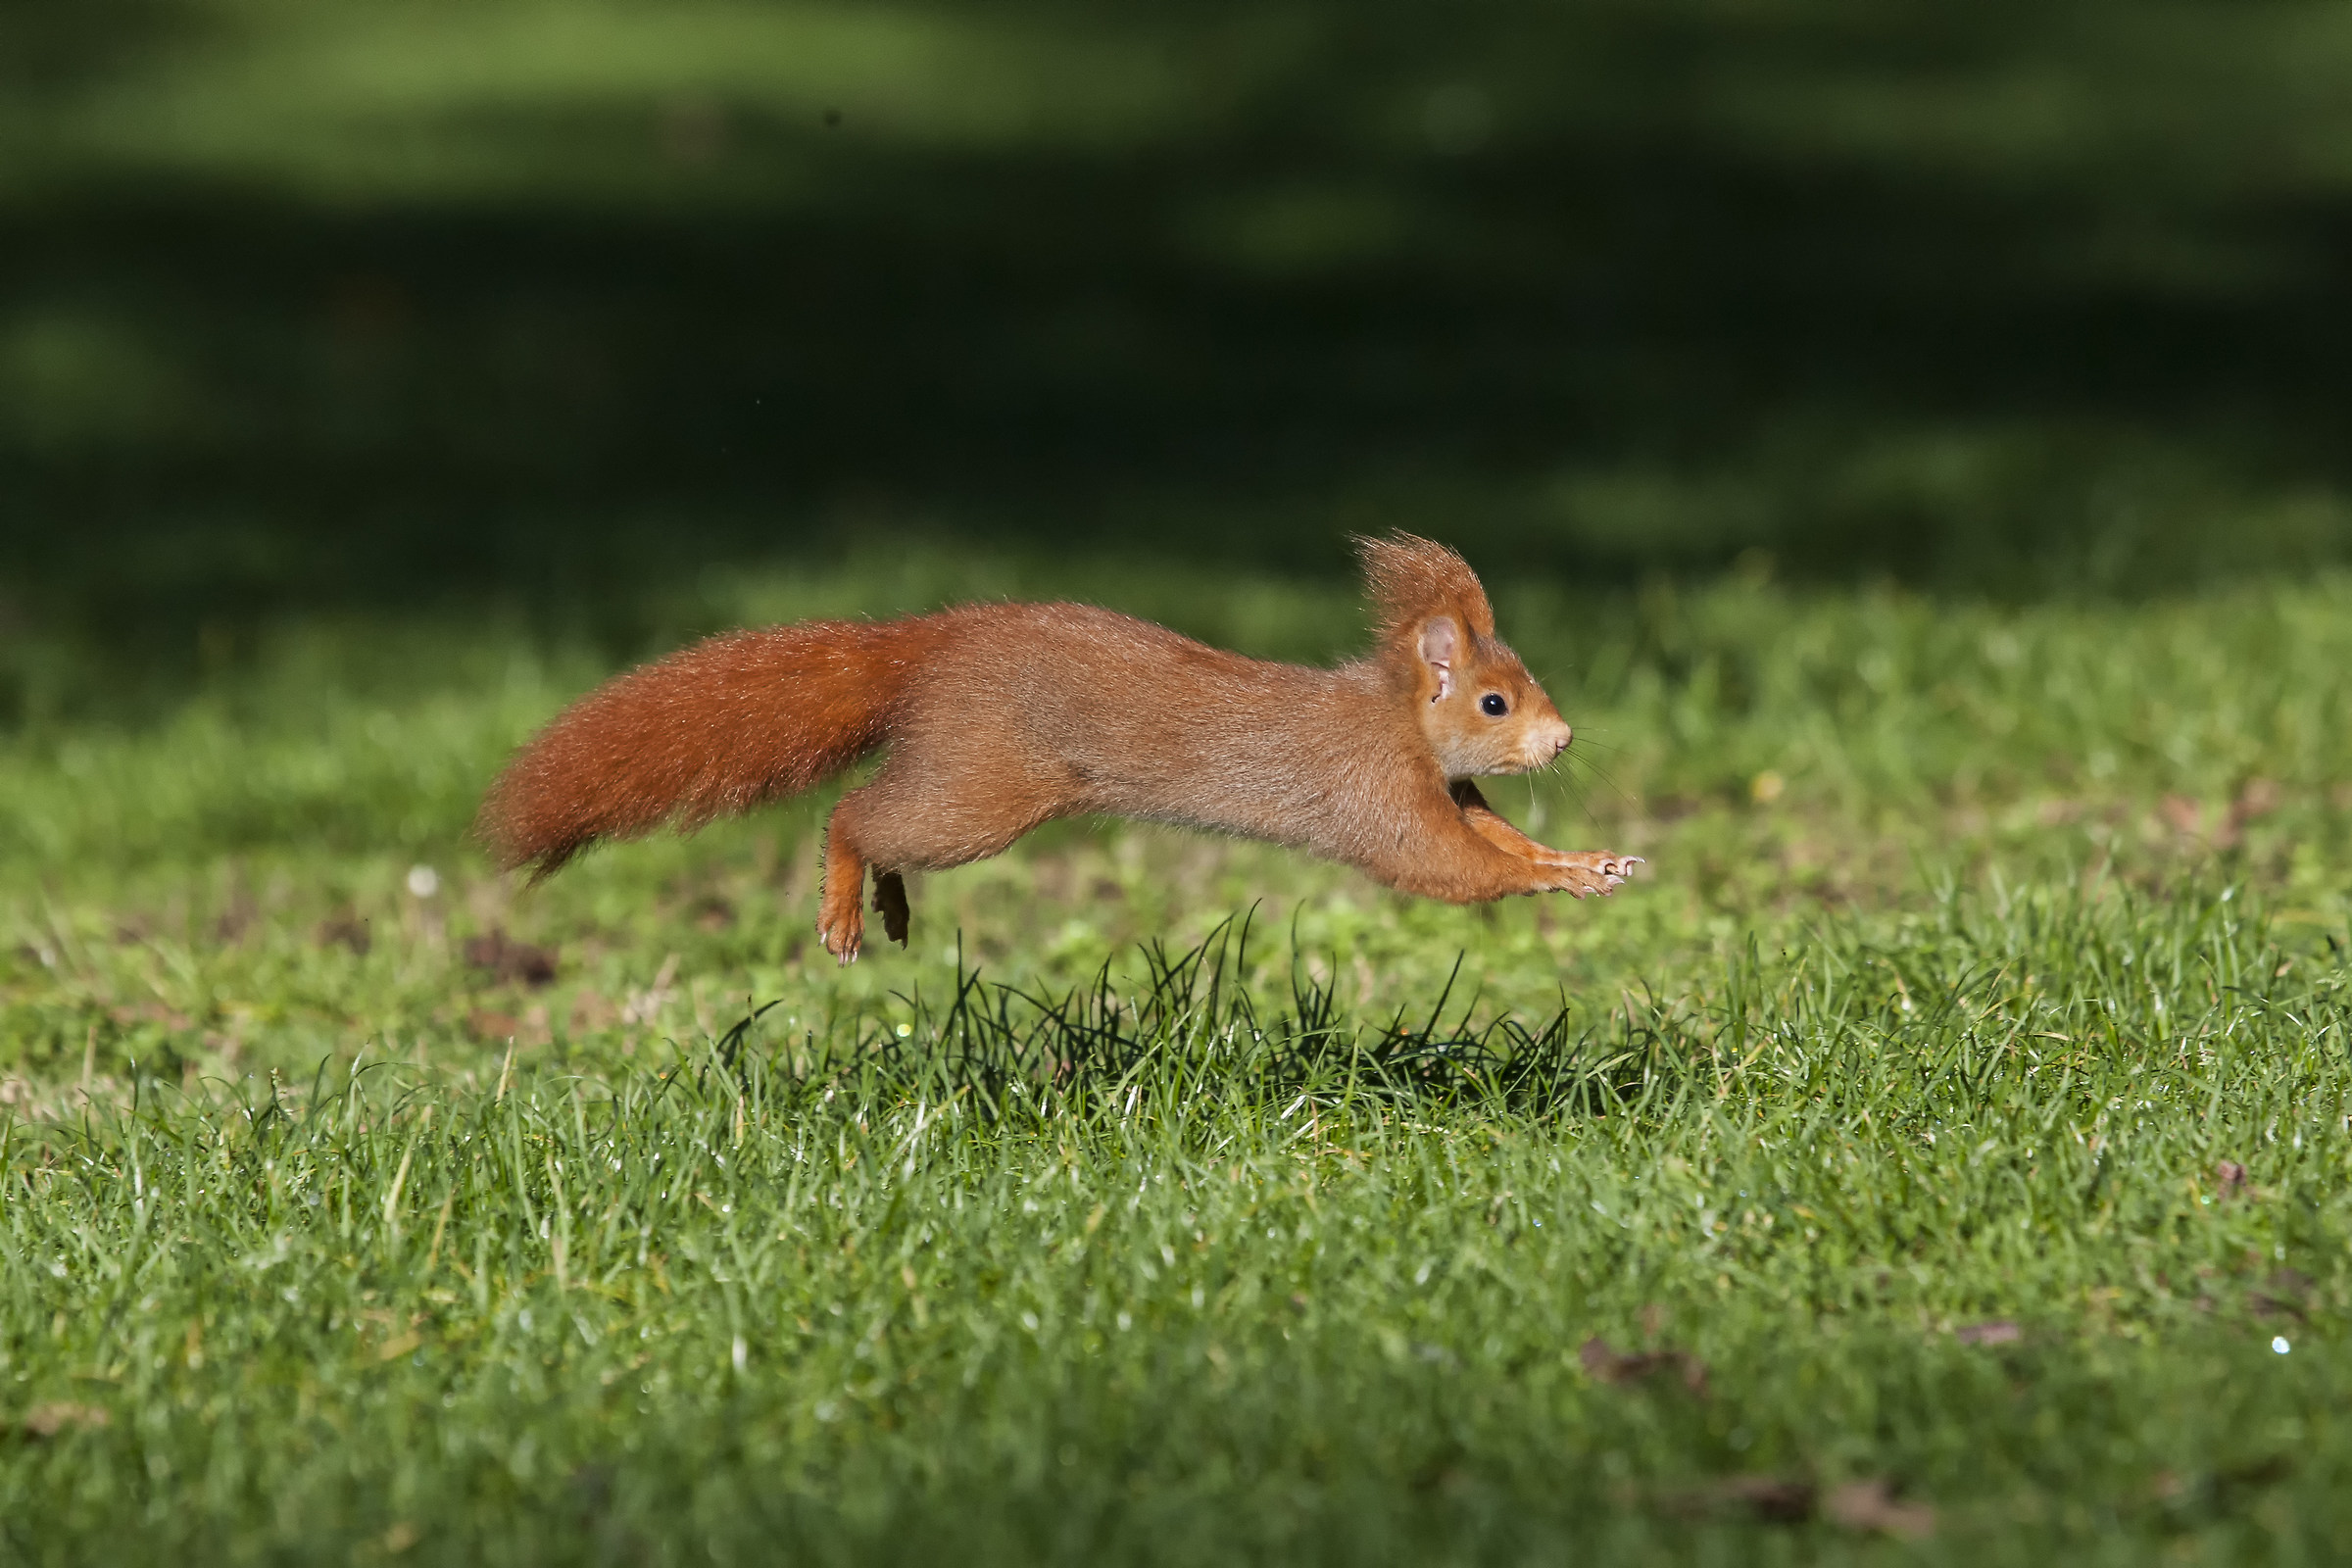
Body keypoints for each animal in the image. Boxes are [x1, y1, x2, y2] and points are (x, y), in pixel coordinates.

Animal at [477, 533, 1641, 964]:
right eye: (1493, 701)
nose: (1563, 738)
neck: (1396, 720)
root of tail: (937, 645)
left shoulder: (1452, 793)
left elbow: (1501, 844)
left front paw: (1587, 863)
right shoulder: (1375, 798)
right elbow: (1451, 867)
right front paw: (1563, 881)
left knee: (883, 820)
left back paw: (891, 905)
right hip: (987, 786)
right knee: (859, 813)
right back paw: (849, 906)